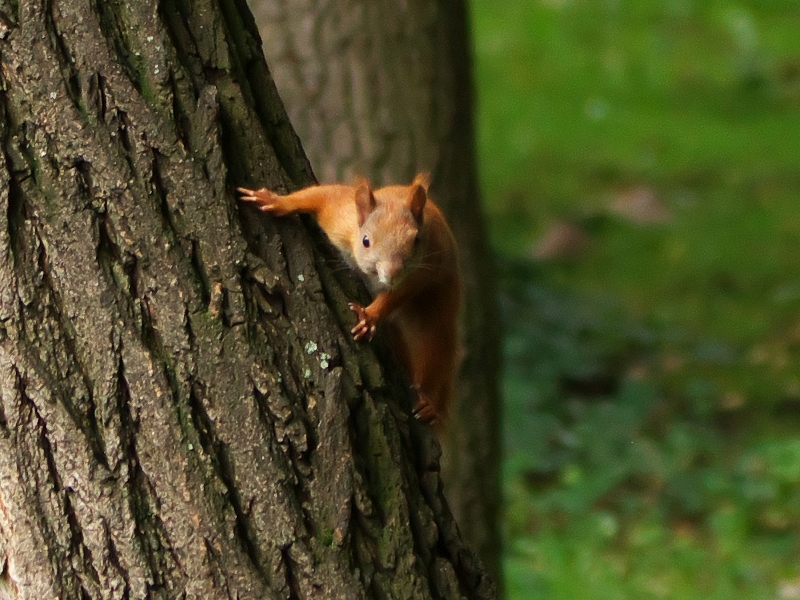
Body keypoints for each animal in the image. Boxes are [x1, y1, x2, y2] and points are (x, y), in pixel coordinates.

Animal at [238, 173, 460, 432]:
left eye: (416, 240)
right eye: (366, 241)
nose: (391, 274)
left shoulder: (421, 270)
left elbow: (398, 294)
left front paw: (369, 317)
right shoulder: (340, 216)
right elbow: (320, 195)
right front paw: (274, 201)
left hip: (437, 308)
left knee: (435, 349)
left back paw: (430, 405)